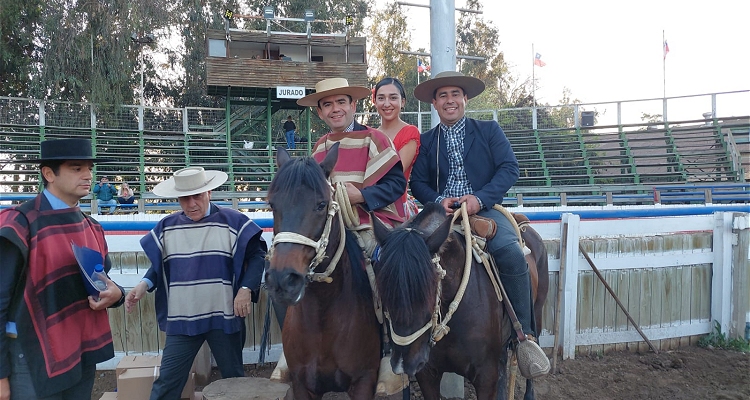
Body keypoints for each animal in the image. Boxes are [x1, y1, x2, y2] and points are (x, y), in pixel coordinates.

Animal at [374, 203, 548, 400]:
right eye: (382, 287)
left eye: (430, 286)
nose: (404, 364)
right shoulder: (426, 374)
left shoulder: (486, 376)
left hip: (537, 311)